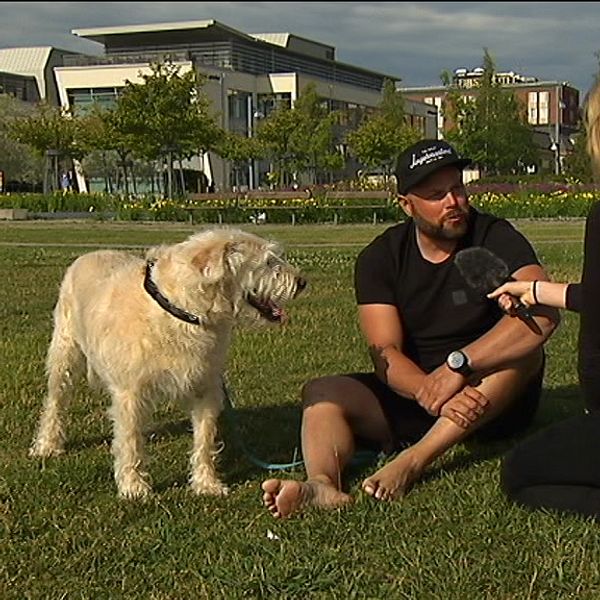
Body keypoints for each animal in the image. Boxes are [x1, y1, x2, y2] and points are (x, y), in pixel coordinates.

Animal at [30, 227, 308, 500]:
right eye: (269, 262)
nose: (302, 283)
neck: (184, 313)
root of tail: (88, 255)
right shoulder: (130, 394)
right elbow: (130, 440)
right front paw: (134, 486)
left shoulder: (206, 388)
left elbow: (205, 439)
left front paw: (206, 483)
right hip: (64, 355)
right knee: (55, 403)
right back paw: (47, 445)